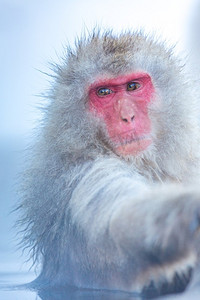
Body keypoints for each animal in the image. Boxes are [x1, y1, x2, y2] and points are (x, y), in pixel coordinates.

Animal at [19, 30, 200, 298]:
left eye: (133, 86)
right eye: (104, 92)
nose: (127, 117)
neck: (146, 164)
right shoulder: (87, 174)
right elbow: (120, 217)